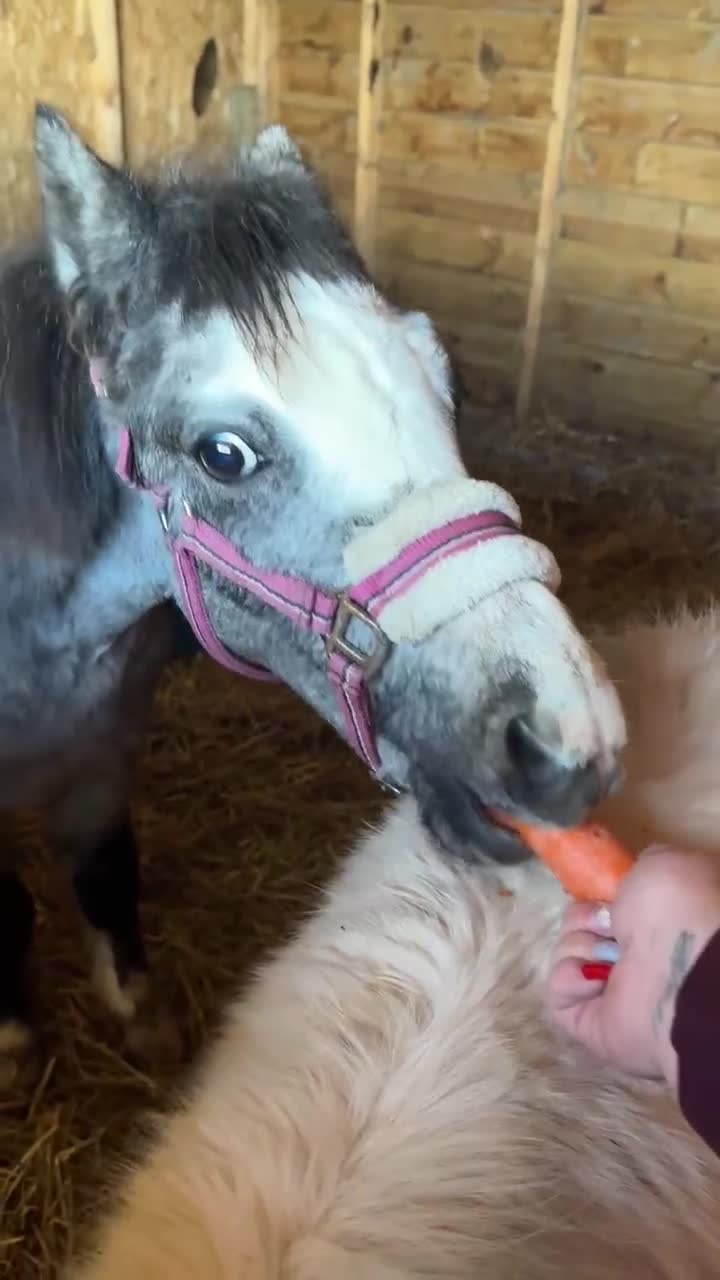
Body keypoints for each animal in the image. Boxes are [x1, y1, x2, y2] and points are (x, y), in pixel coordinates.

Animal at [0, 103, 624, 1081]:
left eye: (444, 373)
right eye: (223, 454)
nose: (568, 739)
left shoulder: (102, 752)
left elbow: (105, 871)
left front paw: (141, 1017)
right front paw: (14, 1037)